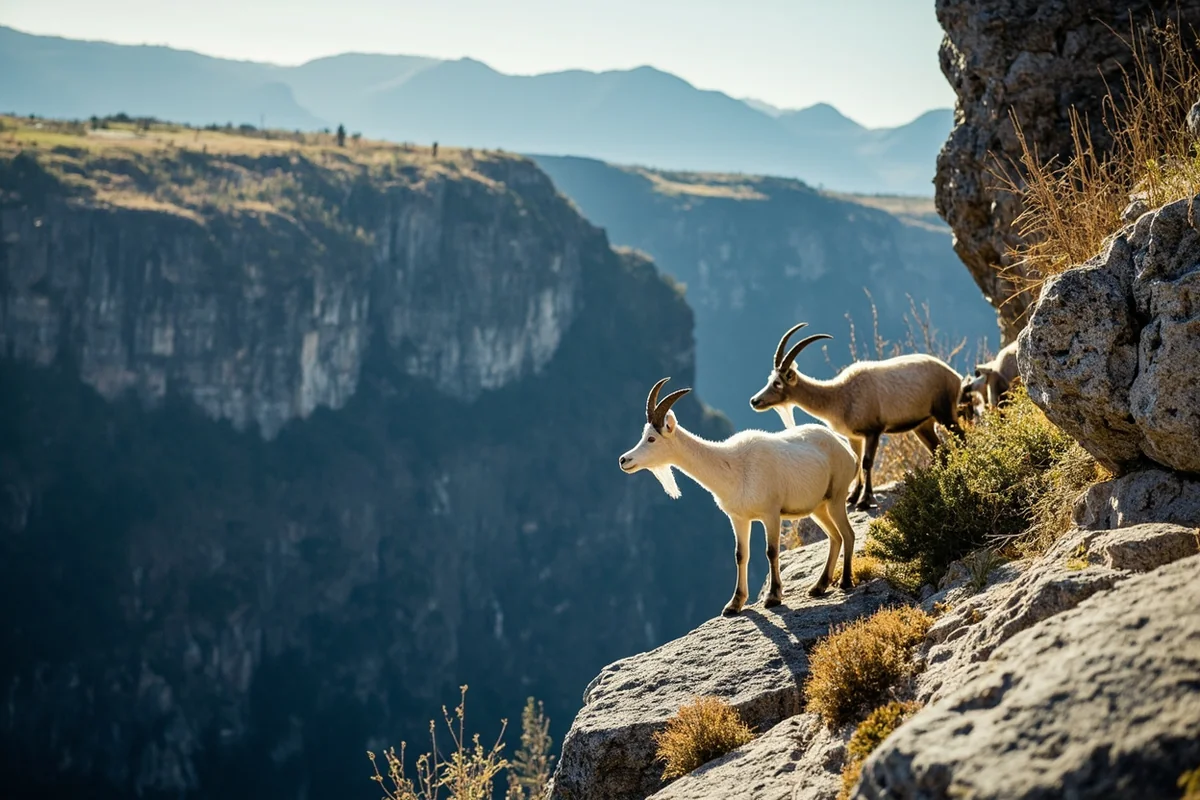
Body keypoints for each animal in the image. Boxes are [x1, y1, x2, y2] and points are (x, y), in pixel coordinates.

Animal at [619, 378, 859, 616]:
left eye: (651, 438)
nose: (624, 460)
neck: (733, 466)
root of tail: (846, 449)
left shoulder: (771, 513)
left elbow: (771, 551)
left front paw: (773, 597)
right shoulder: (739, 518)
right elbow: (740, 554)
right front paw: (734, 604)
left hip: (837, 497)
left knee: (847, 533)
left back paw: (845, 582)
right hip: (818, 507)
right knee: (835, 537)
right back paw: (819, 587)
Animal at [748, 323, 963, 511]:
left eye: (778, 383)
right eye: (770, 379)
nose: (755, 401)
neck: (839, 395)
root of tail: (954, 376)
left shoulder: (873, 432)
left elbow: (866, 462)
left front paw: (865, 501)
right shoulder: (853, 436)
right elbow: (857, 460)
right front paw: (852, 497)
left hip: (945, 414)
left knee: (960, 436)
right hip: (923, 425)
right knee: (937, 447)